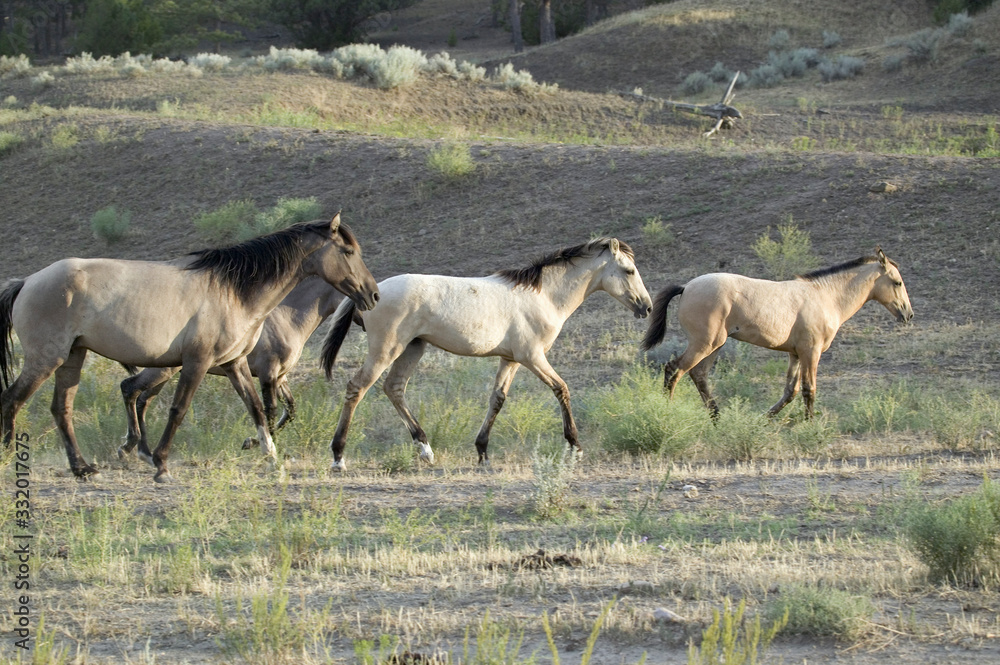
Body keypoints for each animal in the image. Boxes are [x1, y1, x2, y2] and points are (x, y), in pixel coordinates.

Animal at [117, 275, 354, 460]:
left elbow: (290, 410)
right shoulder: (268, 373)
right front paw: (261, 445)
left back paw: (139, 450)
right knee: (130, 388)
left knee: (142, 398)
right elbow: (270, 410)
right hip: (162, 370)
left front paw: (254, 443)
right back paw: (130, 447)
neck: (287, 319)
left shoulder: (280, 377)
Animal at [320, 237, 653, 470]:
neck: (543, 296)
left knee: (394, 388)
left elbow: (498, 398)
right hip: (386, 349)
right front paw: (575, 446)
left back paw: (425, 449)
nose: (647, 307)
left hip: (413, 347)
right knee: (357, 388)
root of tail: (372, 292)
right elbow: (561, 389)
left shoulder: (511, 359)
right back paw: (338, 457)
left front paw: (482, 451)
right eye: (629, 270)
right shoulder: (532, 357)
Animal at [640, 247, 913, 419]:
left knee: (698, 375)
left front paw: (764, 418)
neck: (825, 297)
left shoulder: (795, 354)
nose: (908, 315)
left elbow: (790, 392)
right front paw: (810, 425)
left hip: (715, 346)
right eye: (897, 282)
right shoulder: (811, 352)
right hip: (704, 343)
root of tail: (686, 287)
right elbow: (809, 389)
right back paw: (669, 412)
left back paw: (717, 417)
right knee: (674, 369)